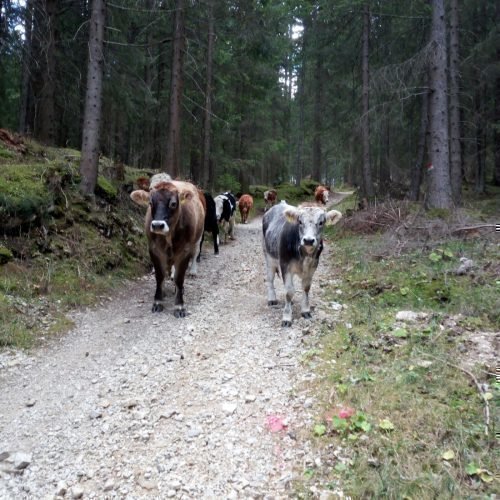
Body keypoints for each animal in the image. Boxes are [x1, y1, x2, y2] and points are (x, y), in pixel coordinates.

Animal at [132, 182, 206, 318]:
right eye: (150, 203)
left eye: (173, 203)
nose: (157, 225)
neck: (168, 237)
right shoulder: (154, 249)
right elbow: (160, 276)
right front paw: (158, 301)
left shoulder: (184, 251)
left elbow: (179, 278)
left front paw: (179, 305)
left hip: (198, 237)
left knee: (195, 253)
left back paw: (191, 273)